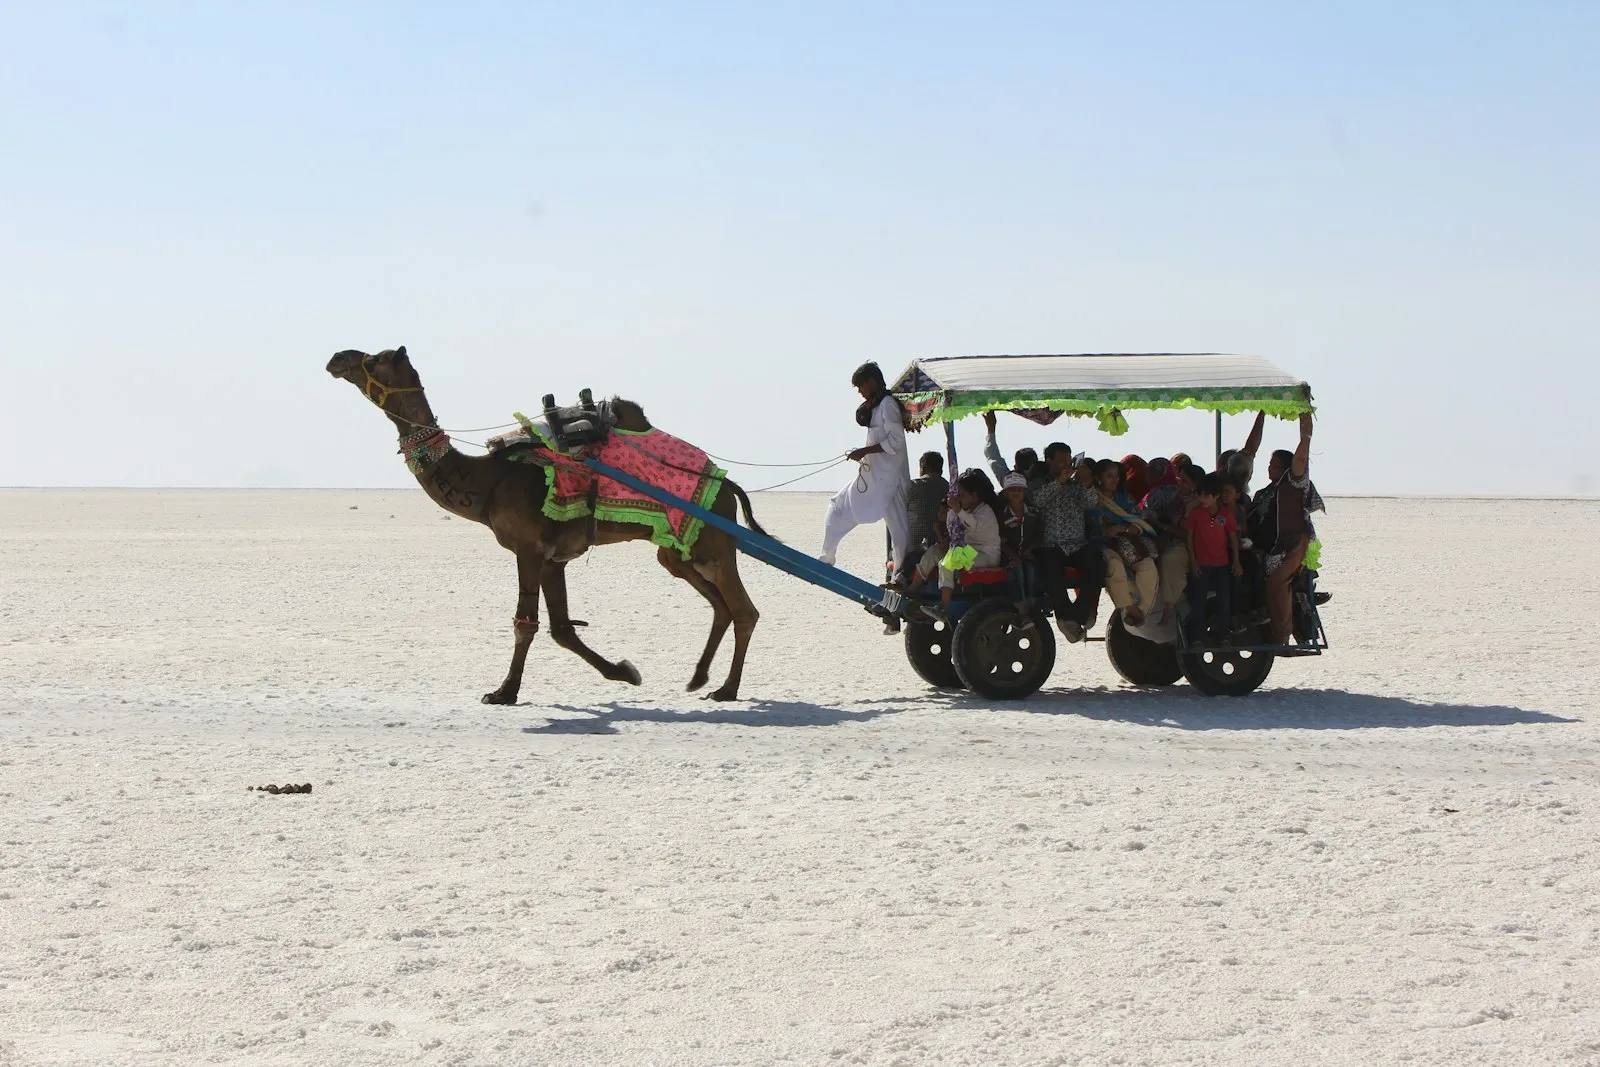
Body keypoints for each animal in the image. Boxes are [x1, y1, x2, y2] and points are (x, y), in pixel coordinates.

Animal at [326, 347, 762, 703]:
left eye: (372, 360)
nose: (336, 358)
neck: (487, 482)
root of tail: (726, 484)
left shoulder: (529, 548)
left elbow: (526, 624)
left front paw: (503, 692)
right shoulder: (555, 559)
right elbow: (561, 629)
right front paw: (624, 672)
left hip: (712, 540)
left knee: (744, 610)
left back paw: (727, 689)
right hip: (676, 551)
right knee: (720, 606)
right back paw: (699, 678)